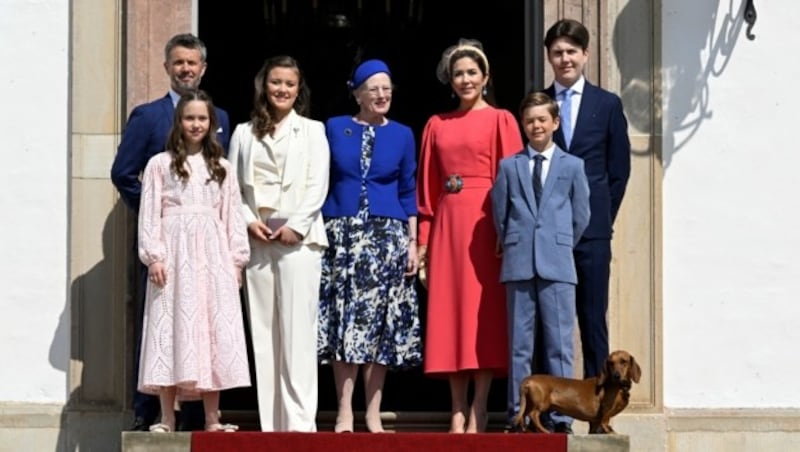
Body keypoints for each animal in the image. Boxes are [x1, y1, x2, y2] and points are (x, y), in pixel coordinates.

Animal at [512, 352, 644, 432]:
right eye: (611, 363)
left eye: (624, 361)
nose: (616, 376)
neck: (618, 386)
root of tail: (528, 379)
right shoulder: (606, 410)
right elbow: (605, 422)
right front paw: (610, 431)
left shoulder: (595, 421)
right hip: (541, 404)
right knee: (533, 415)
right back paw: (544, 431)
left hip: (529, 403)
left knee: (522, 416)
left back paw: (525, 430)